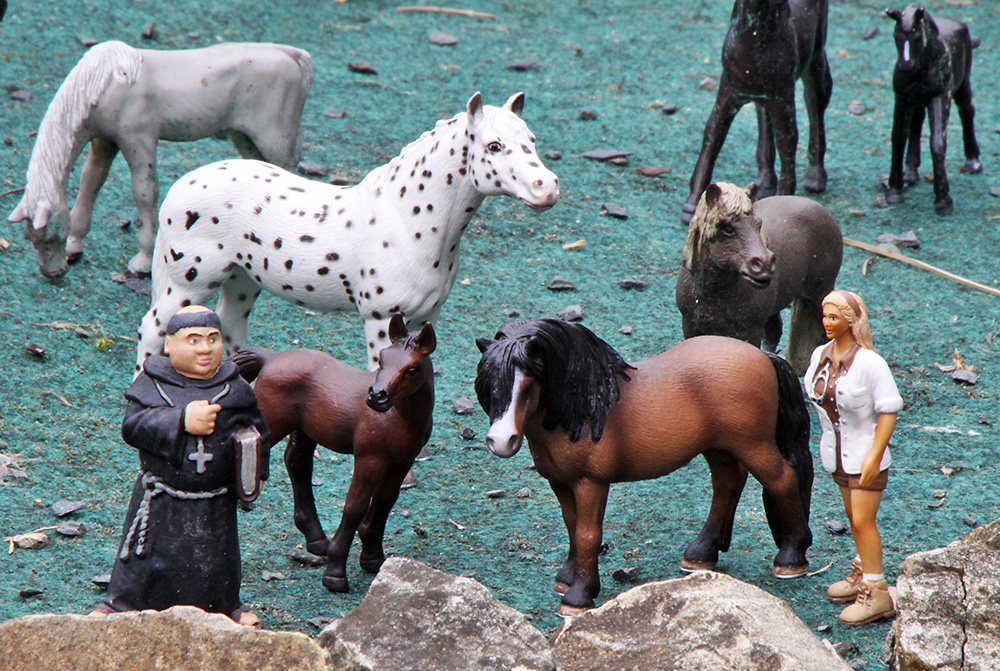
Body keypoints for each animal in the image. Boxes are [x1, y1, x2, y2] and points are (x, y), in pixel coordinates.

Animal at [137, 92, 560, 376]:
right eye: (494, 146)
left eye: (532, 141)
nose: (547, 188)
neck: (408, 222)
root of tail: (180, 187)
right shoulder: (380, 319)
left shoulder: (427, 317)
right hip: (188, 284)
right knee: (153, 330)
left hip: (242, 279)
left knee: (228, 321)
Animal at [238, 316, 438, 592]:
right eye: (382, 359)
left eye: (413, 369)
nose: (376, 397)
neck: (399, 418)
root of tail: (271, 358)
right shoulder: (370, 457)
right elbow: (355, 505)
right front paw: (335, 575)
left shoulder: (402, 460)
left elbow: (386, 500)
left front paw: (373, 559)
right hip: (271, 423)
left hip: (304, 431)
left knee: (297, 464)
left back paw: (316, 540)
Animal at [474, 318, 812, 616]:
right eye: (489, 386)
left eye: (529, 385)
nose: (501, 441)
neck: (586, 412)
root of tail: (763, 356)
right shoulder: (560, 482)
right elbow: (571, 525)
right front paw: (566, 579)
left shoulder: (591, 483)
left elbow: (587, 534)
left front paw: (578, 596)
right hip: (719, 447)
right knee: (728, 483)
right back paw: (701, 554)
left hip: (753, 444)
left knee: (781, 480)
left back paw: (791, 558)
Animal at [680, 0, 836, 226]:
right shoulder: (728, 94)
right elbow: (712, 136)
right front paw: (692, 205)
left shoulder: (783, 99)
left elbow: (787, 145)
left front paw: (786, 203)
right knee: (763, 113)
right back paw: (765, 182)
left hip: (815, 60)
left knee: (815, 102)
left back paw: (815, 176)